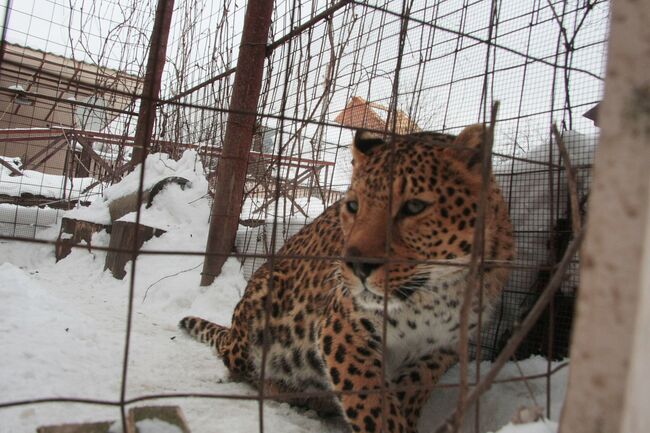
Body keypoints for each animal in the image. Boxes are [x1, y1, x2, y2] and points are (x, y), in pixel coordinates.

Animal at [180, 123, 512, 430]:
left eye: (414, 206)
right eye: (353, 205)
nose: (357, 265)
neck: (435, 296)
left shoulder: (443, 346)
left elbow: (413, 386)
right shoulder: (342, 326)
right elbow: (370, 399)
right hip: (263, 299)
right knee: (238, 364)